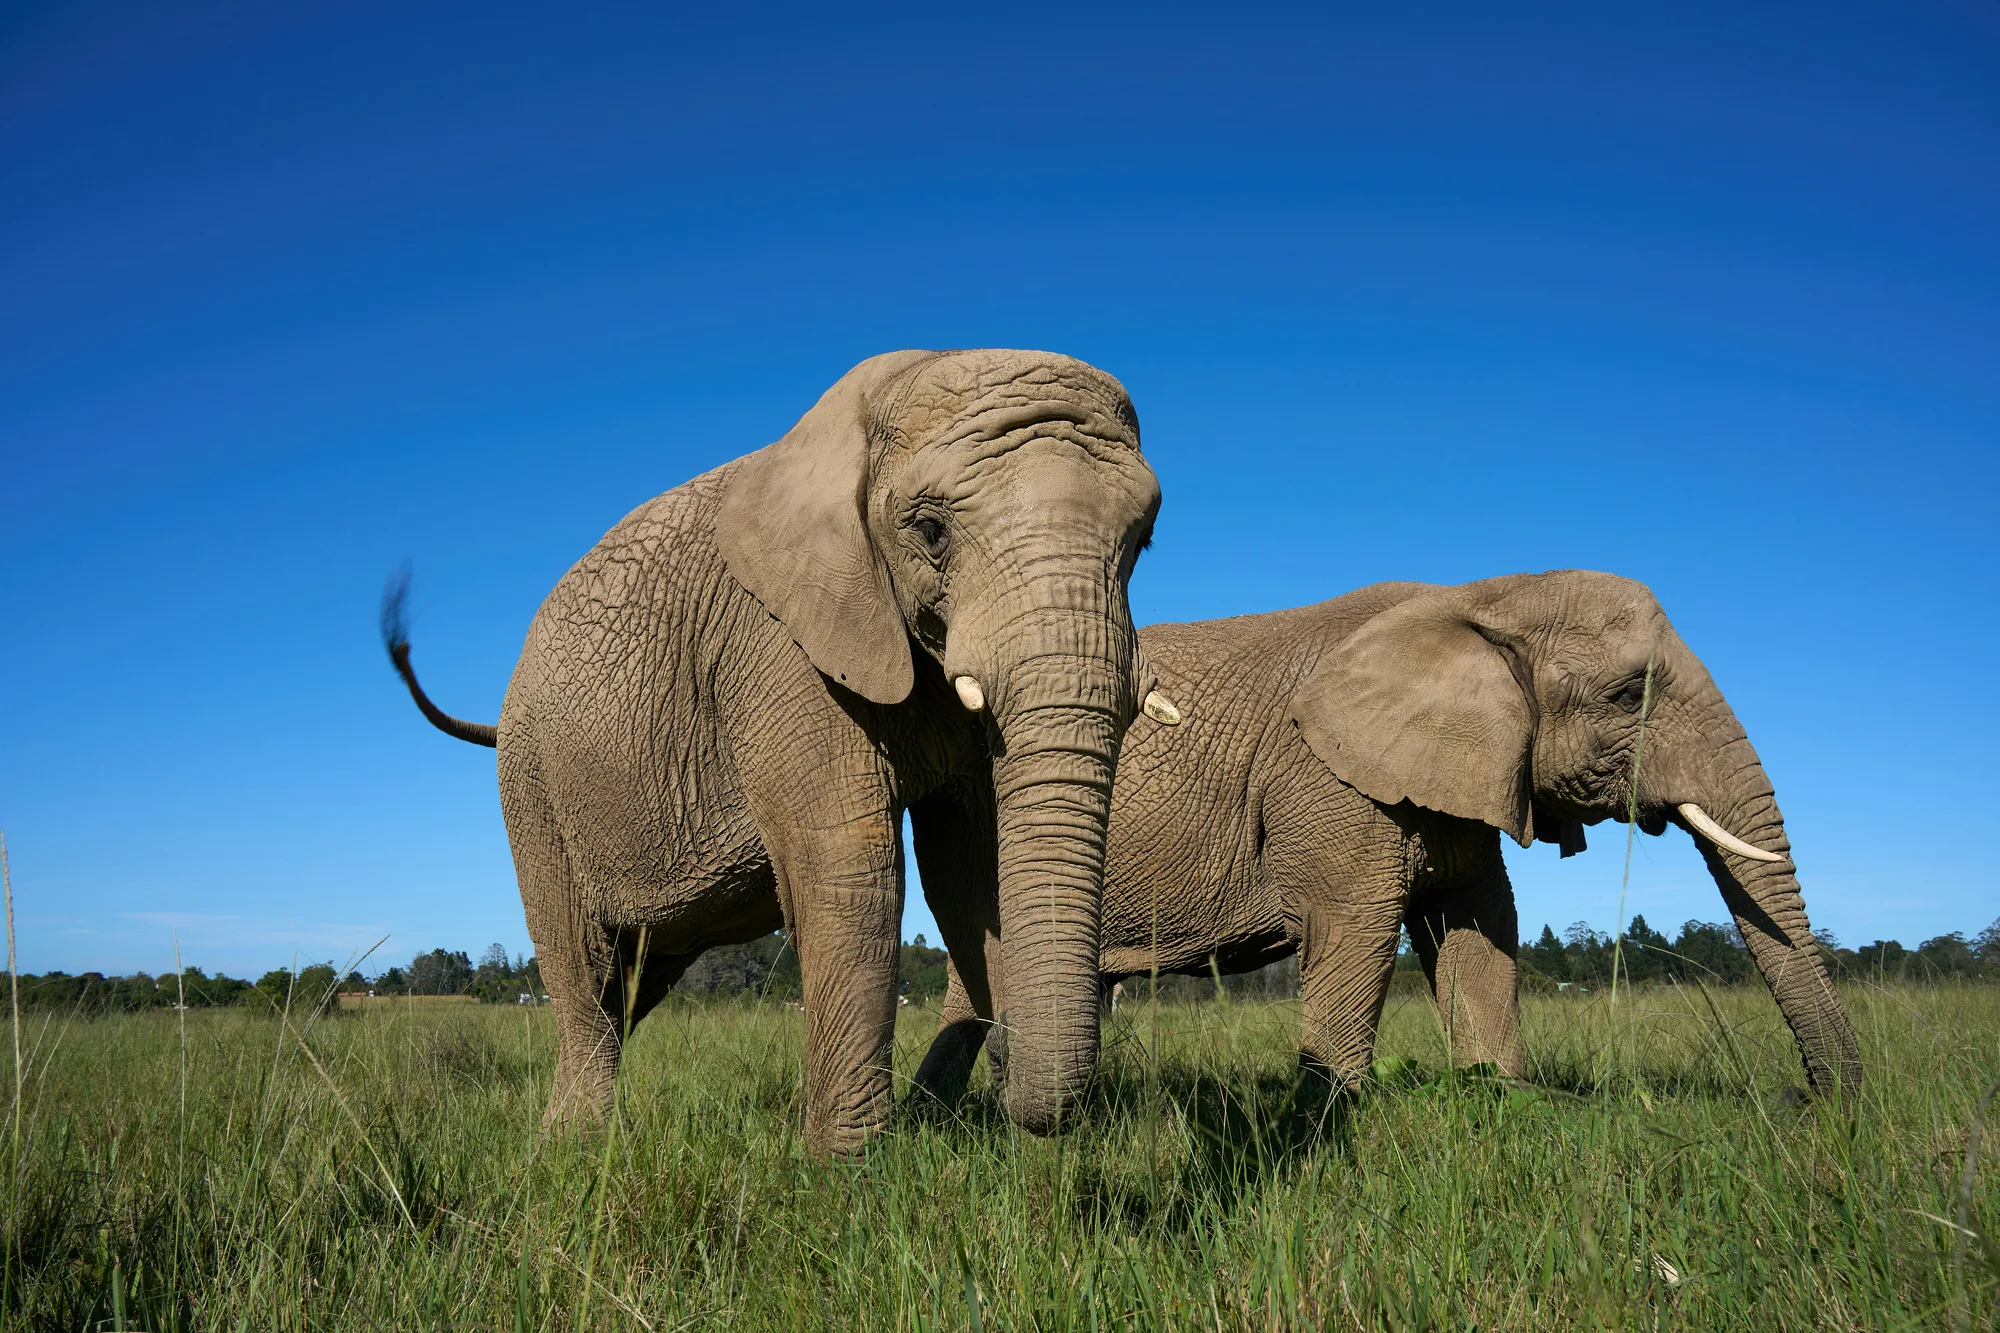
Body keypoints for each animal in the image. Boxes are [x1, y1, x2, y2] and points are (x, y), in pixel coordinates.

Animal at [384, 349, 1178, 1156]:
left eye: (1143, 540)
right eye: (930, 531)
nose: (1011, 1056)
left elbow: (970, 868)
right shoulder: (775, 646)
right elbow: (850, 866)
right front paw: (846, 1169)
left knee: (635, 982)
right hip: (534, 782)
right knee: (582, 966)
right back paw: (574, 1149)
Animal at [914, 571, 1861, 1103]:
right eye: (1631, 694)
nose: (1811, 1099)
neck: (1474, 599)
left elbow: (1479, 926)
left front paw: (1505, 1097)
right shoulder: (1325, 777)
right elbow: (1355, 924)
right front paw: (1331, 1114)